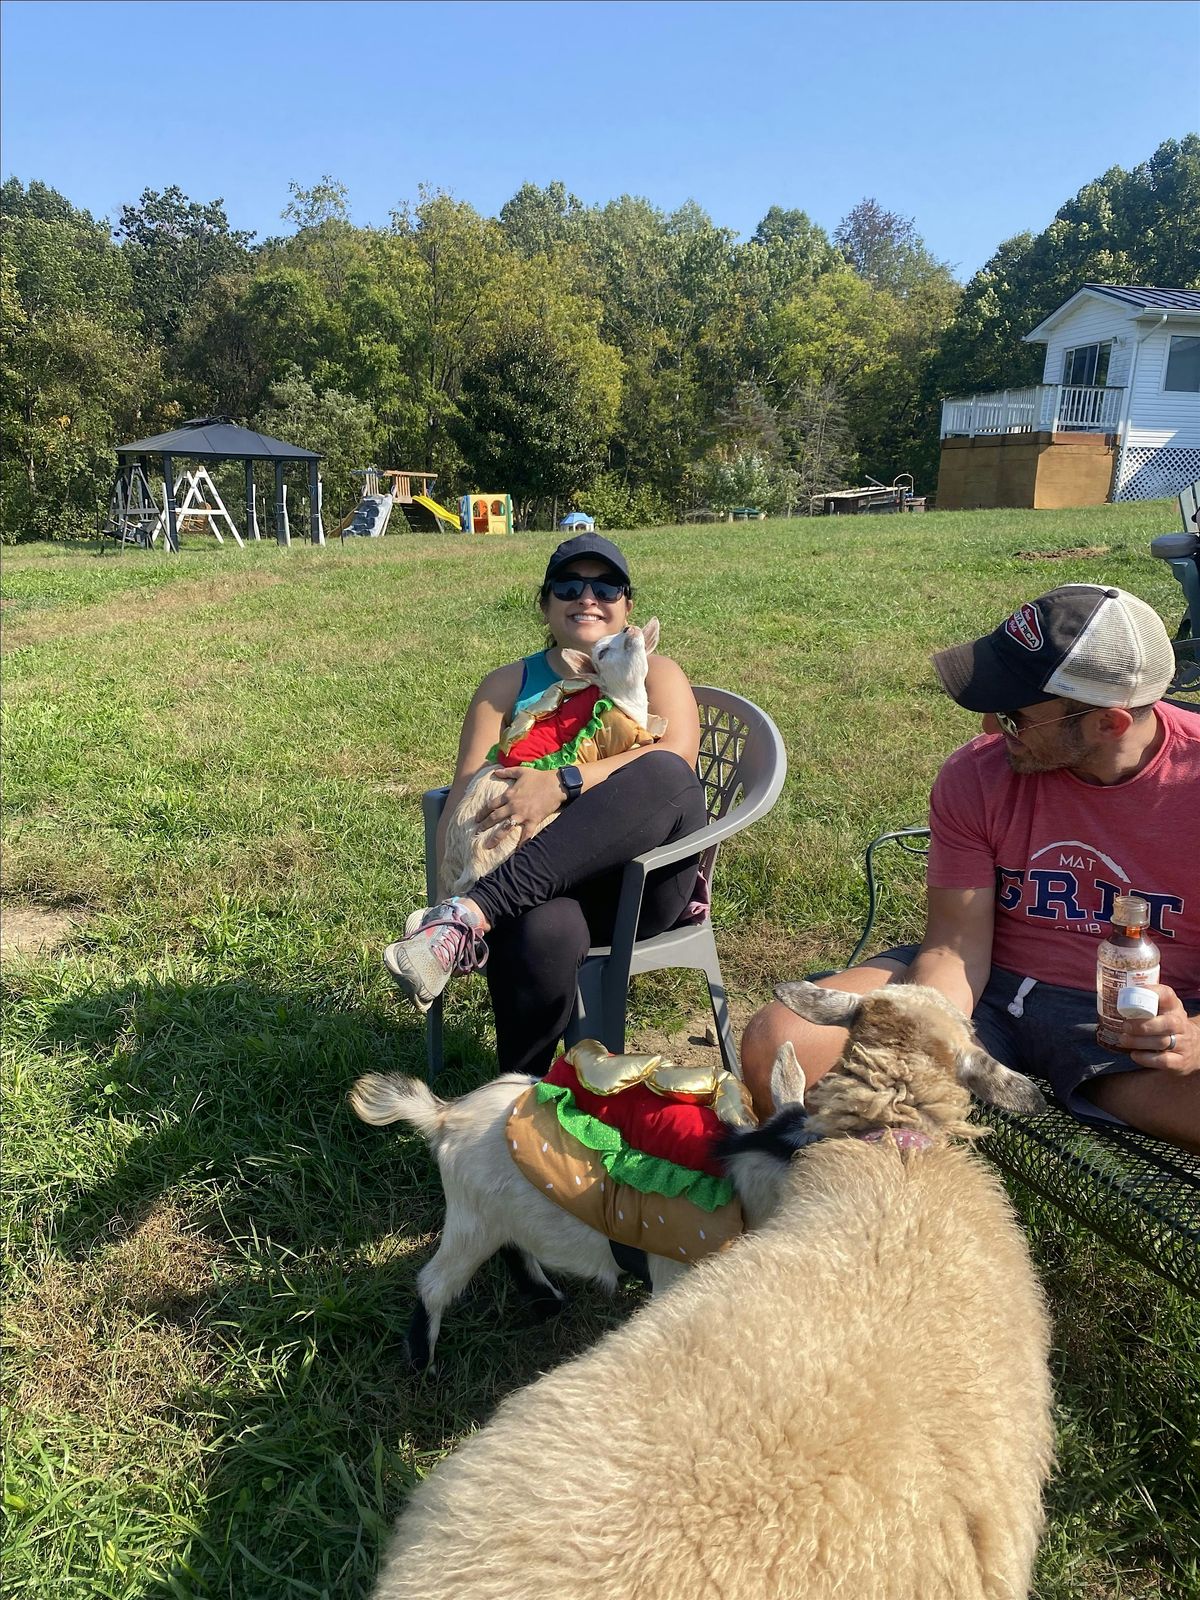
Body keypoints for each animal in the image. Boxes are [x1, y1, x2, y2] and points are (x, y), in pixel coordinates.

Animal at [371, 972, 1056, 1600]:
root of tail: (443, 1115)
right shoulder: (672, 1270)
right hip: (471, 1219)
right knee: (434, 1282)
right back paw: (422, 1358)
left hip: (498, 1218)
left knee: (516, 1251)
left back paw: (543, 1298)